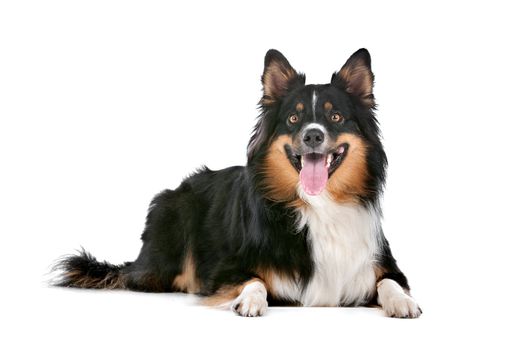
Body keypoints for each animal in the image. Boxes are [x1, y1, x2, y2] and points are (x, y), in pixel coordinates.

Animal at [53, 47, 422, 318]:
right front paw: (250, 300)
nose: (313, 135)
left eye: (335, 116)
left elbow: (390, 283)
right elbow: (253, 279)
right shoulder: (227, 269)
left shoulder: (384, 265)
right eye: (293, 118)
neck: (319, 205)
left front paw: (403, 302)